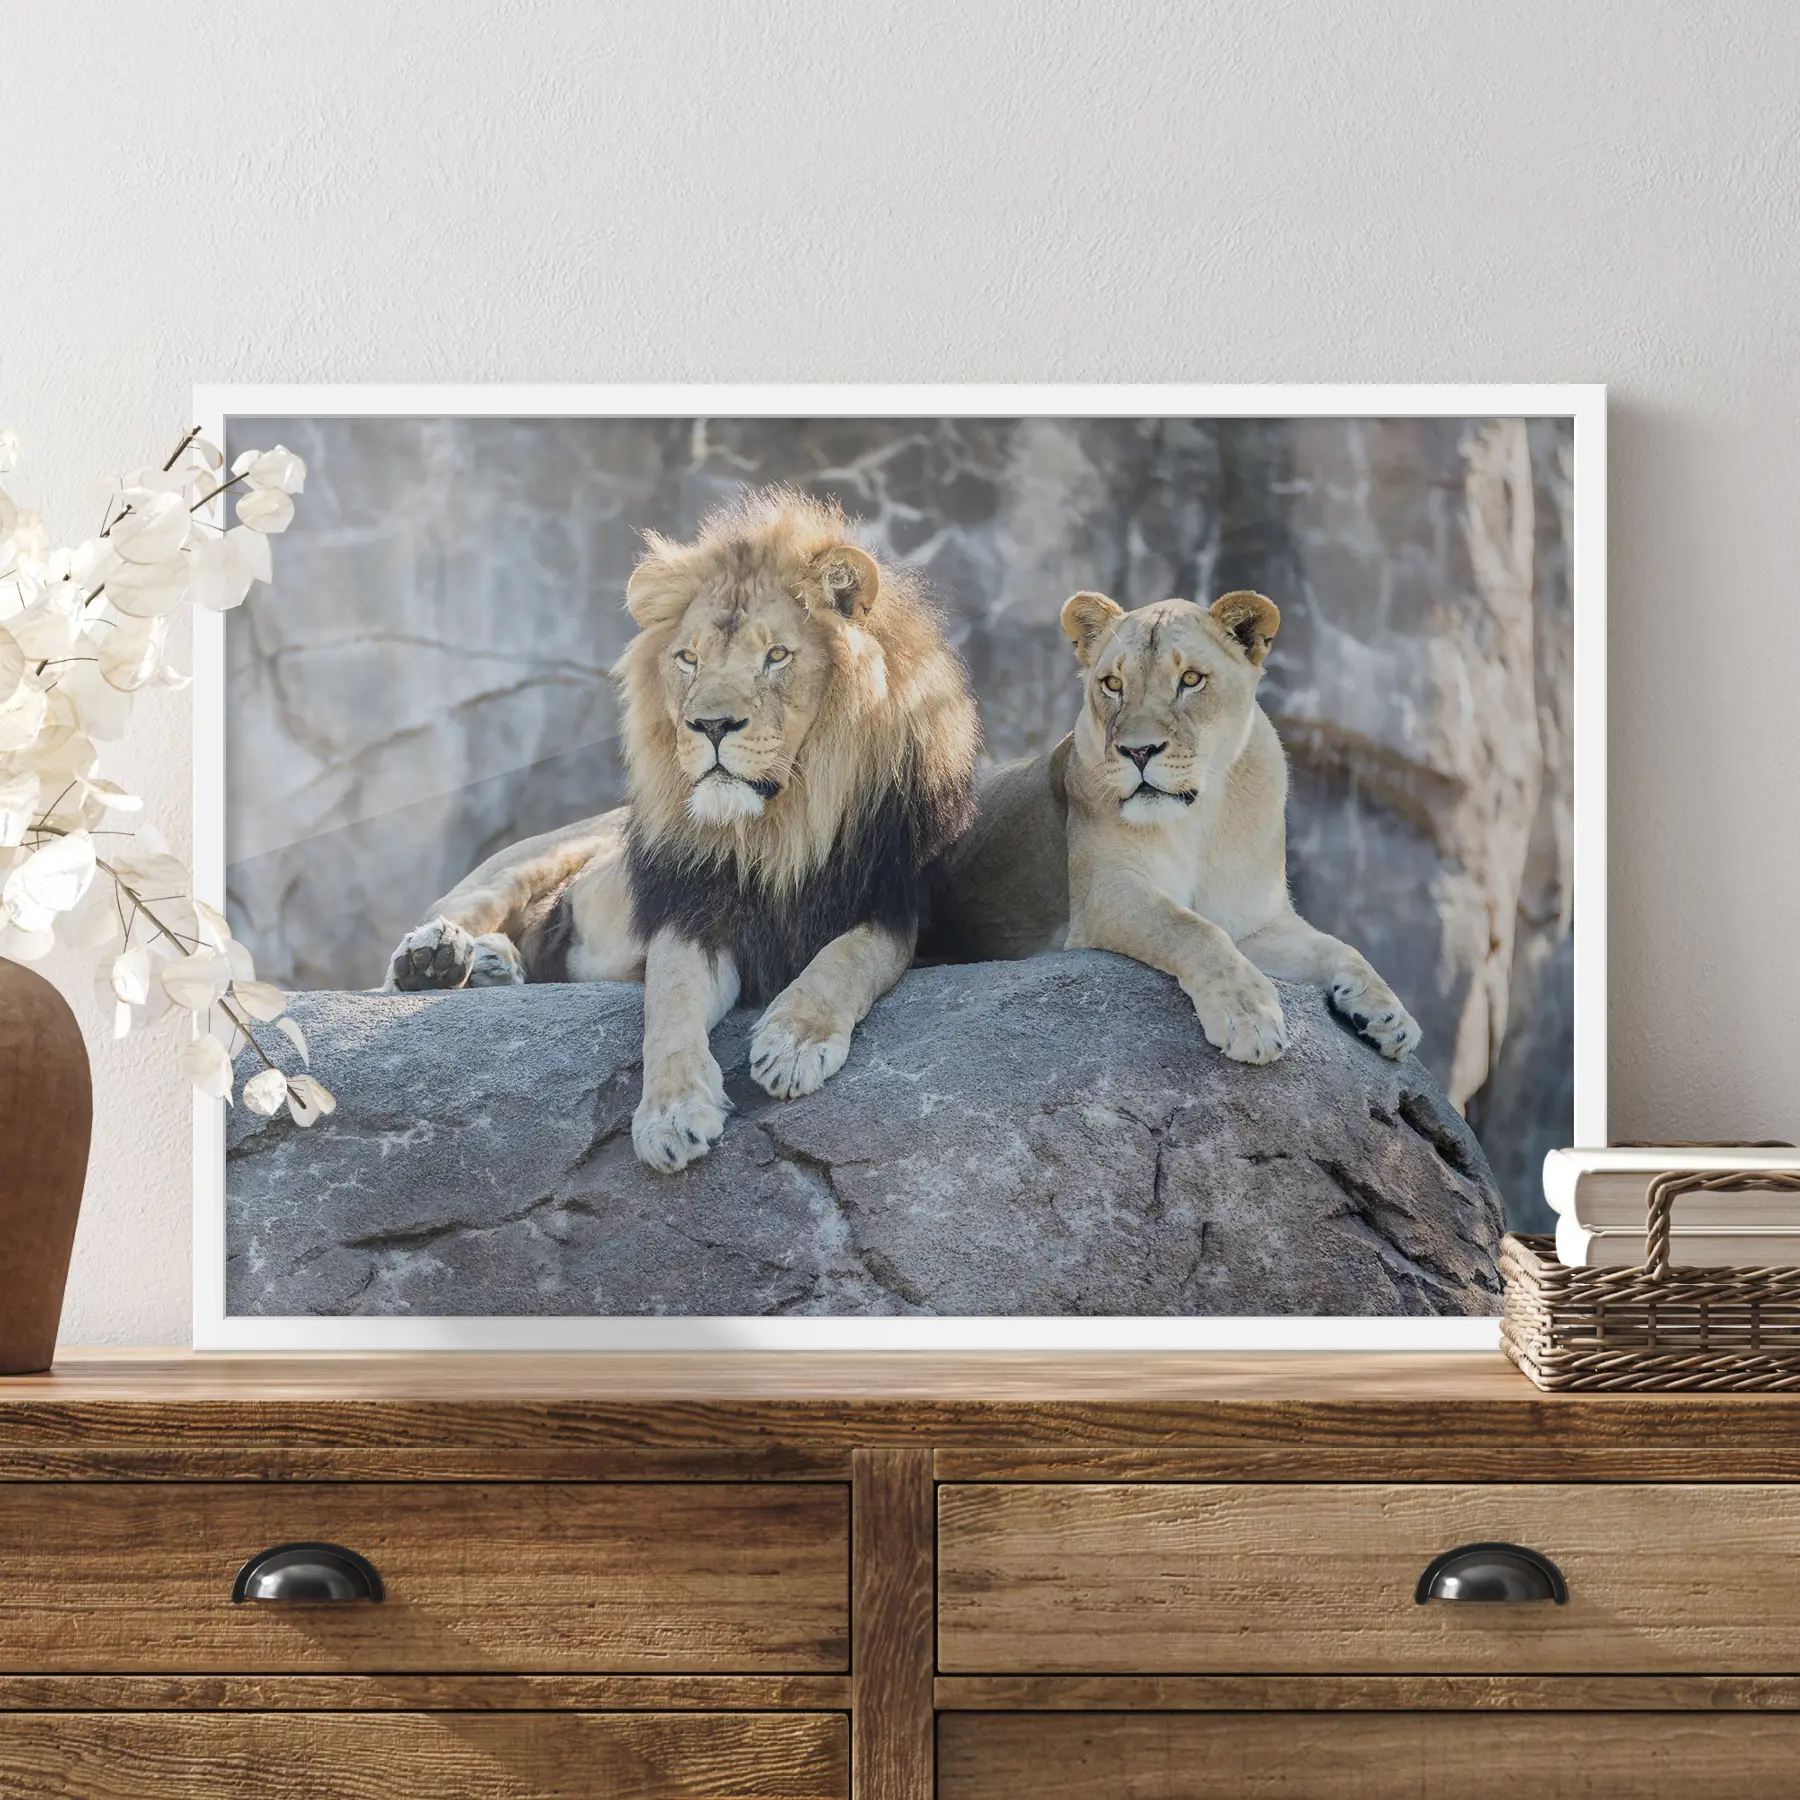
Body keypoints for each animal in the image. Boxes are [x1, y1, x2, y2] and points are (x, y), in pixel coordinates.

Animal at [384, 487, 980, 1172]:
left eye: (776, 655)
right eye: (688, 659)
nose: (711, 725)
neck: (778, 830)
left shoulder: (896, 905)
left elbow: (848, 957)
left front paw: (794, 1043)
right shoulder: (691, 912)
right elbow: (668, 1007)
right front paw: (670, 1115)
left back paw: (490, 965)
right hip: (523, 862)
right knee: (451, 917)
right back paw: (436, 959)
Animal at [923, 589, 1420, 1065]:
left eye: (1191, 680)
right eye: (1113, 684)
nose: (1138, 751)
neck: (1200, 819)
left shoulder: (1256, 923)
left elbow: (1340, 948)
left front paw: (1389, 1015)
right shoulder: (1107, 892)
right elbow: (1193, 930)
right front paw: (1250, 1018)